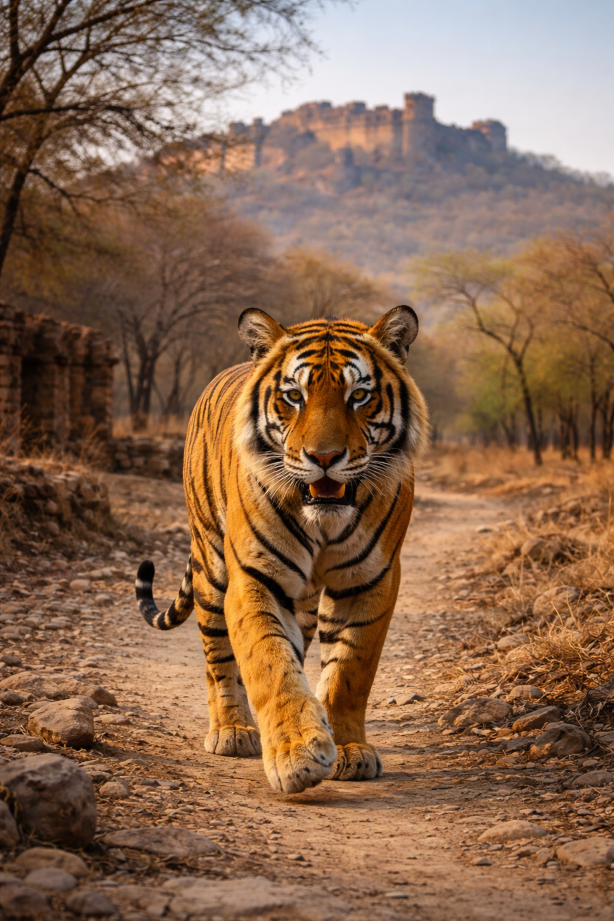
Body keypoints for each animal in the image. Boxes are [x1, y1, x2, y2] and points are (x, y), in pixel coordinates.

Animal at [135, 306, 428, 794]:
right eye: (294, 396)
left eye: (359, 396)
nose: (324, 457)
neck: (324, 521)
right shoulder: (255, 578)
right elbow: (269, 662)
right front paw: (296, 753)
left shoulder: (372, 580)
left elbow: (349, 671)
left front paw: (349, 748)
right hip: (211, 568)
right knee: (219, 657)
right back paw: (232, 730)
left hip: (305, 603)